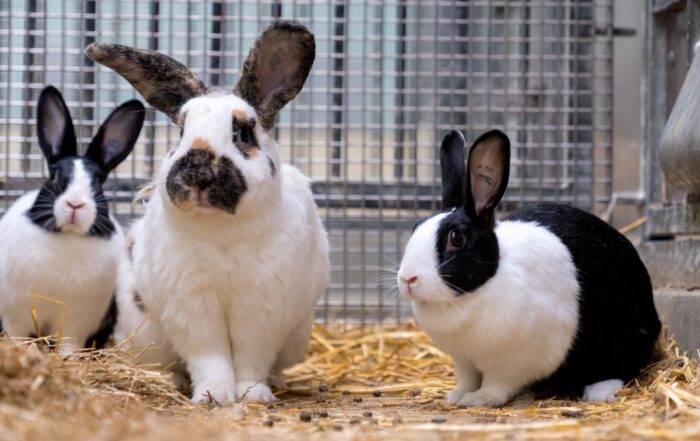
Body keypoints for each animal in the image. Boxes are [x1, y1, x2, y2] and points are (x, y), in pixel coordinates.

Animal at [0, 85, 145, 354]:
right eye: (55, 176)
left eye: (97, 182)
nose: (75, 204)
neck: (68, 236)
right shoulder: (16, 314)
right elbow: (17, 338)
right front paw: (22, 352)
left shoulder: (78, 322)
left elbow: (69, 345)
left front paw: (67, 358)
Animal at [85, 18, 330, 404]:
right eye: (181, 132)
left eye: (243, 133)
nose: (197, 172)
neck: (221, 232)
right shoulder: (191, 306)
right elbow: (208, 355)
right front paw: (214, 396)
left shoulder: (263, 307)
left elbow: (252, 355)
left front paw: (253, 395)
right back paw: (169, 380)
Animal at [400, 129, 660, 408]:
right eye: (415, 226)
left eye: (456, 238)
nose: (407, 278)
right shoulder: (464, 360)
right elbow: (468, 379)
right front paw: (457, 396)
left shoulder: (509, 366)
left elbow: (496, 386)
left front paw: (477, 399)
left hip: (623, 337)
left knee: (623, 365)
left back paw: (599, 391)